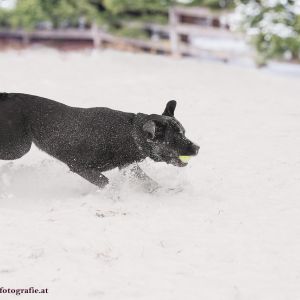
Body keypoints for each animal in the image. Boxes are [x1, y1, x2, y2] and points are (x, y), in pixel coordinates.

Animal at [0, 92, 199, 189]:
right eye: (176, 137)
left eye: (184, 132)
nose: (197, 148)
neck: (129, 133)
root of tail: (5, 94)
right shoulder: (80, 167)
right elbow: (106, 182)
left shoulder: (128, 167)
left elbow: (148, 182)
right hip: (18, 148)